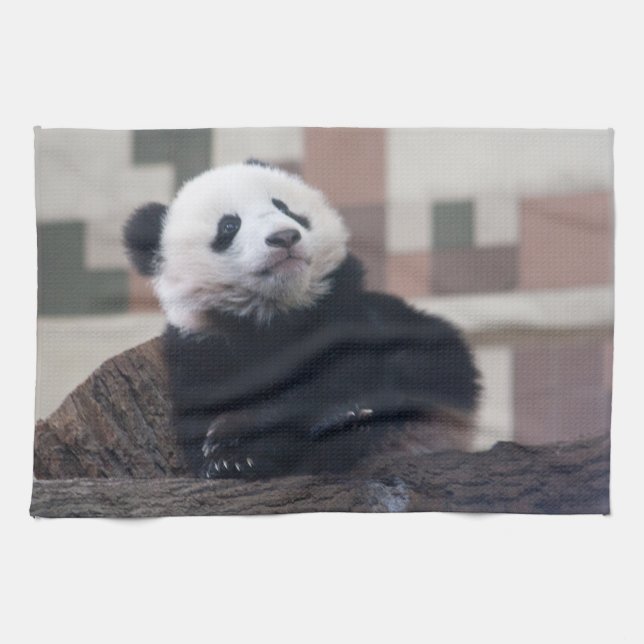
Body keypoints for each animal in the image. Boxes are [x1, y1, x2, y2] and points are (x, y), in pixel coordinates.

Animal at [124, 160, 480, 479]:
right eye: (229, 226)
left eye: (285, 208)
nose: (284, 237)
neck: (274, 312)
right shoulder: (200, 348)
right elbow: (198, 418)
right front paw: (231, 458)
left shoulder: (347, 313)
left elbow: (350, 373)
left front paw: (235, 433)